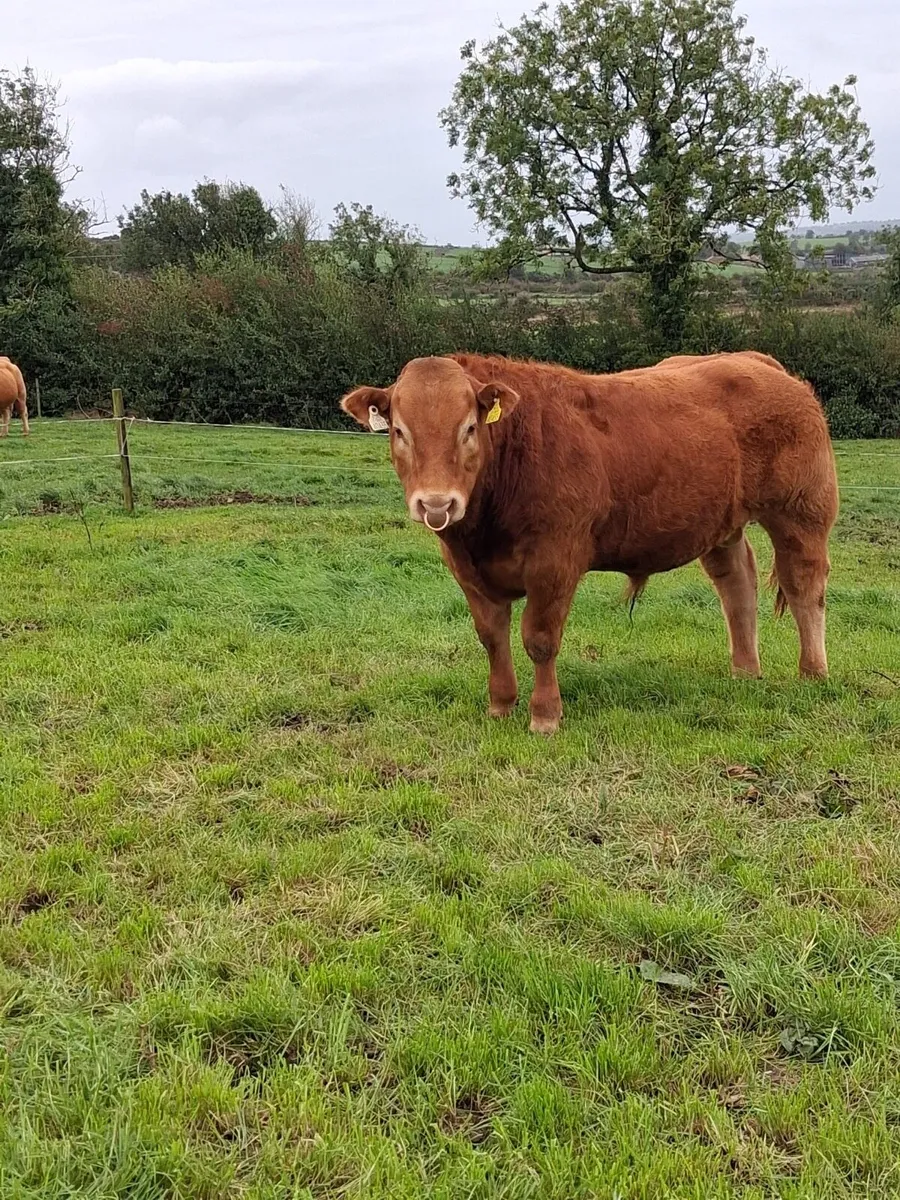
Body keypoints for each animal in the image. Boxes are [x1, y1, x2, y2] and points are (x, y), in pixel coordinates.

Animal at [340, 352, 838, 734]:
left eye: (468, 428)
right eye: (400, 431)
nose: (437, 503)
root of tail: (758, 361)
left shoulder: (555, 561)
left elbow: (539, 639)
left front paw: (544, 716)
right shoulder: (467, 570)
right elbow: (492, 638)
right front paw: (500, 705)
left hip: (802, 511)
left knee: (804, 586)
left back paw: (812, 674)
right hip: (722, 522)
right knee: (737, 585)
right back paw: (745, 672)